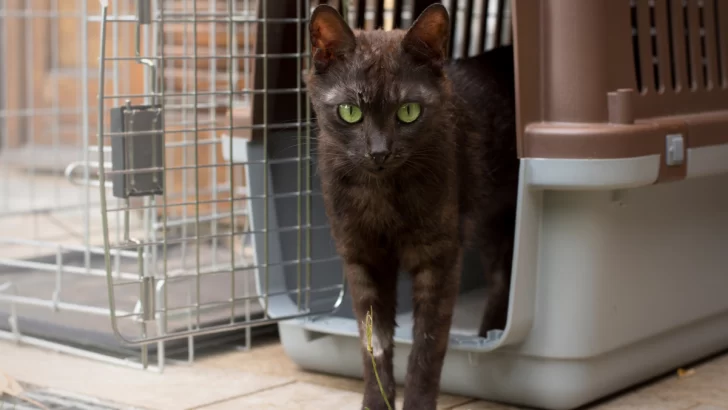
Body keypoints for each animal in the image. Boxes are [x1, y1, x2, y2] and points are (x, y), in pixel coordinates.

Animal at [306, 4, 516, 410]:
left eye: (408, 111)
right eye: (350, 112)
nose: (379, 152)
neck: (381, 196)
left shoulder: (439, 258)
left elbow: (426, 346)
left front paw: (416, 402)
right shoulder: (362, 257)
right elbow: (373, 342)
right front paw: (376, 402)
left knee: (503, 276)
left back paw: (490, 333)